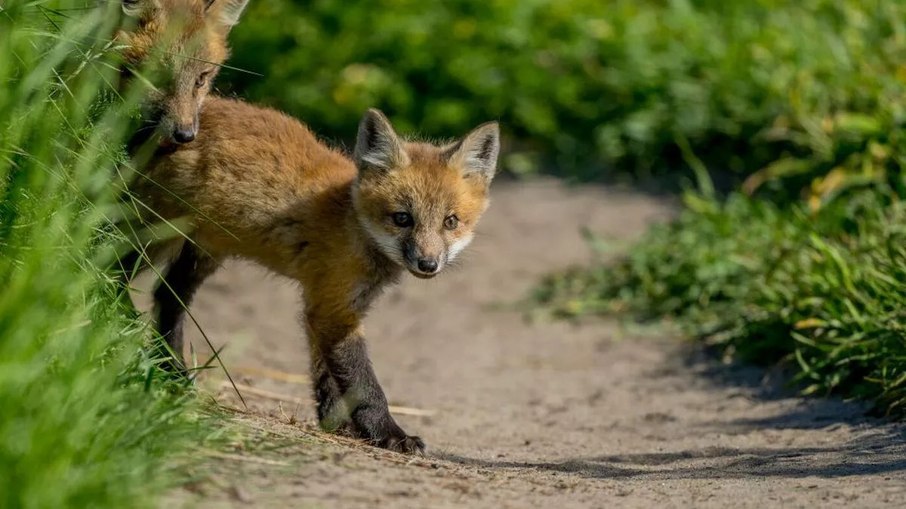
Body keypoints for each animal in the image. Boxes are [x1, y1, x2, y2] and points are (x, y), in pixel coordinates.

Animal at [123, 96, 498, 452]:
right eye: (402, 218)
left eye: (451, 221)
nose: (428, 264)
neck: (352, 224)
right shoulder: (334, 307)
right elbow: (363, 384)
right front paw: (389, 434)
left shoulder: (325, 305)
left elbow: (327, 376)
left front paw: (336, 424)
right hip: (153, 237)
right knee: (115, 275)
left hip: (204, 251)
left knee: (167, 297)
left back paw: (171, 370)